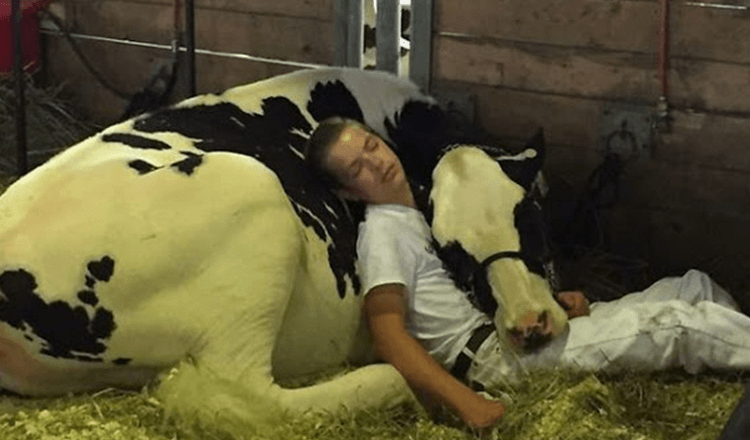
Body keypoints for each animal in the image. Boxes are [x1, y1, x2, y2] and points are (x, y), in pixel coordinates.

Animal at [0, 68, 568, 430]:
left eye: (531, 217)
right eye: (451, 252)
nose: (530, 323)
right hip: (254, 201)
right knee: (237, 396)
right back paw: (390, 384)